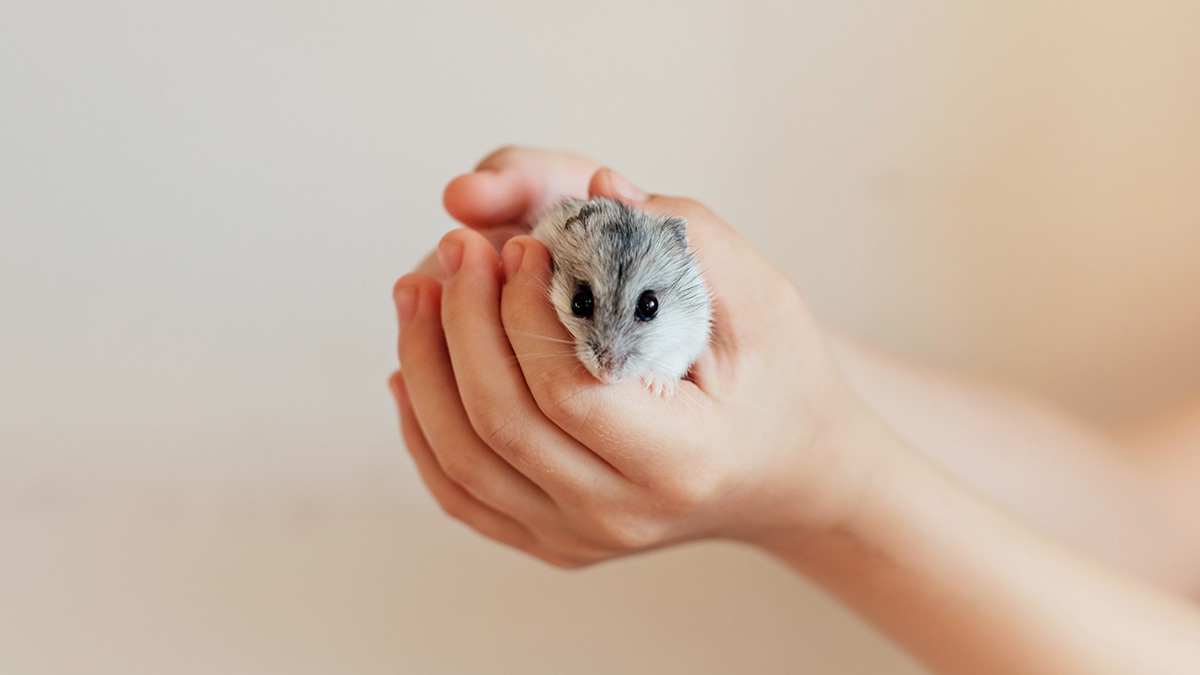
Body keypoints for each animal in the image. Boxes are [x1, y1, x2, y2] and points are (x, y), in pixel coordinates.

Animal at [530, 197, 712, 397]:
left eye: (650, 306)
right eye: (579, 302)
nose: (608, 377)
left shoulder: (694, 330)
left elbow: (673, 357)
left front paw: (659, 389)